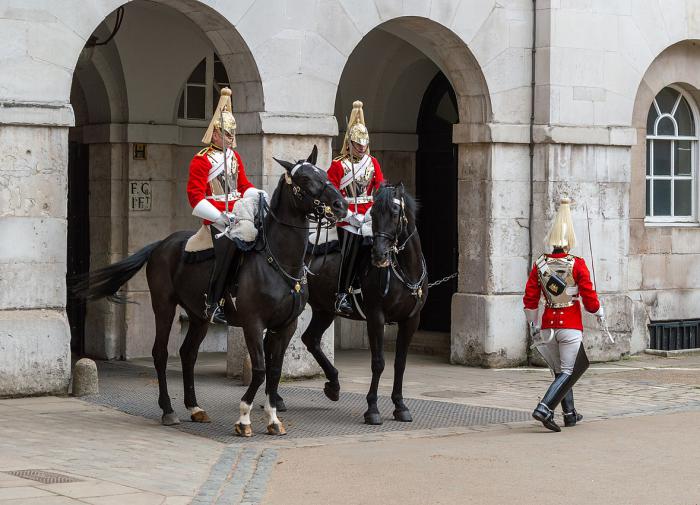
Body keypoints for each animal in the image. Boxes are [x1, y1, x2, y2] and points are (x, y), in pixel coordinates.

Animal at [72, 146, 348, 434]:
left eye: (323, 173)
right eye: (304, 179)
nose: (341, 205)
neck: (279, 261)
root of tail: (162, 243)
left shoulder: (286, 325)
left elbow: (274, 370)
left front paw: (273, 419)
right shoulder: (253, 323)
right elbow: (260, 368)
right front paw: (244, 417)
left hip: (199, 315)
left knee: (188, 353)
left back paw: (194, 407)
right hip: (163, 305)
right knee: (161, 353)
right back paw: (168, 410)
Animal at [300, 183, 426, 424]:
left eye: (395, 213)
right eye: (373, 214)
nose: (378, 255)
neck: (405, 270)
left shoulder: (411, 320)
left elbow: (400, 363)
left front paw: (400, 406)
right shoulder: (376, 317)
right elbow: (378, 362)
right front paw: (372, 409)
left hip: (324, 309)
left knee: (310, 339)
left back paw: (333, 386)